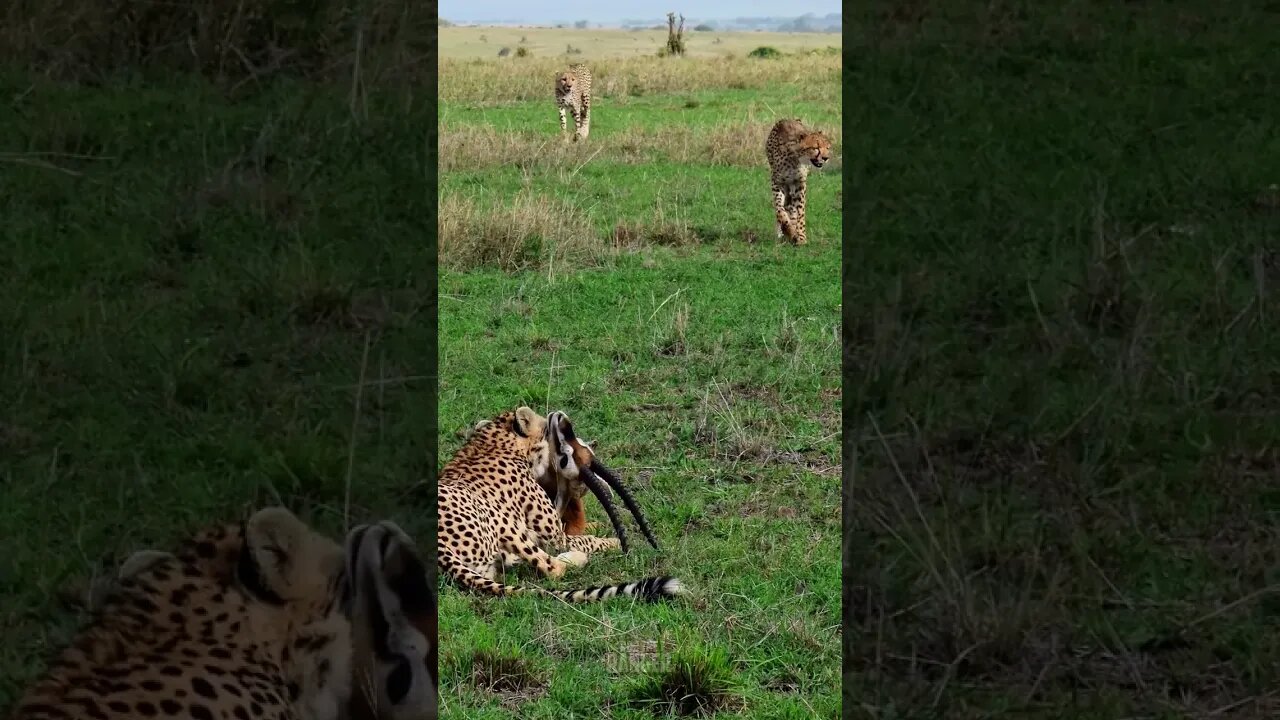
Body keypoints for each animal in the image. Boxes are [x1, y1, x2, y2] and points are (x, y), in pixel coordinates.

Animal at [435, 404, 686, 599]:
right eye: (548, 429)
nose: (559, 416)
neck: (488, 443)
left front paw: (597, 526)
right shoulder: (555, 537)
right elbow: (584, 541)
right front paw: (612, 541)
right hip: (501, 522)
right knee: (552, 567)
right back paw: (576, 557)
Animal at [762, 115, 834, 243]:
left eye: (827, 147)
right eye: (816, 148)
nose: (826, 158)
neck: (795, 158)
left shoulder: (799, 184)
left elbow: (800, 211)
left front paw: (800, 236)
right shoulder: (777, 183)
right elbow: (779, 210)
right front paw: (788, 230)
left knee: (791, 208)